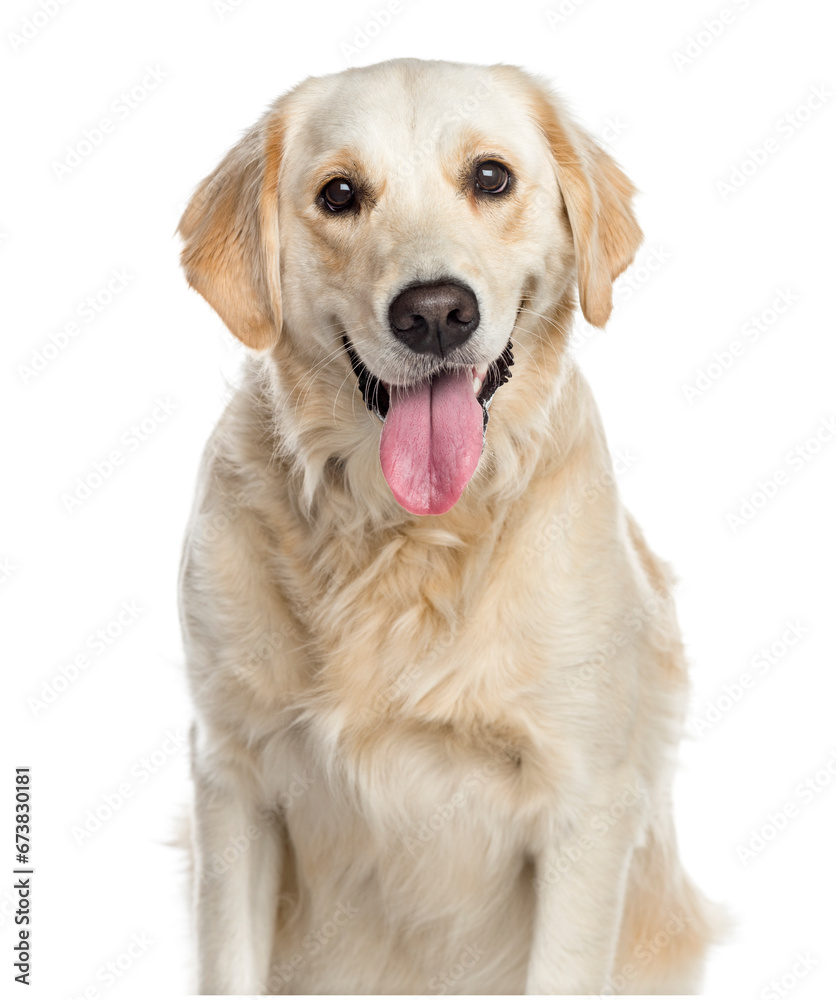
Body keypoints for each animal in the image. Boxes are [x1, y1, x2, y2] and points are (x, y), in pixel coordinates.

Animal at [175, 60, 720, 992]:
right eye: (340, 193)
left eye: (491, 177)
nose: (434, 313)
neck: (405, 534)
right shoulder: (230, 777)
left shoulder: (586, 805)